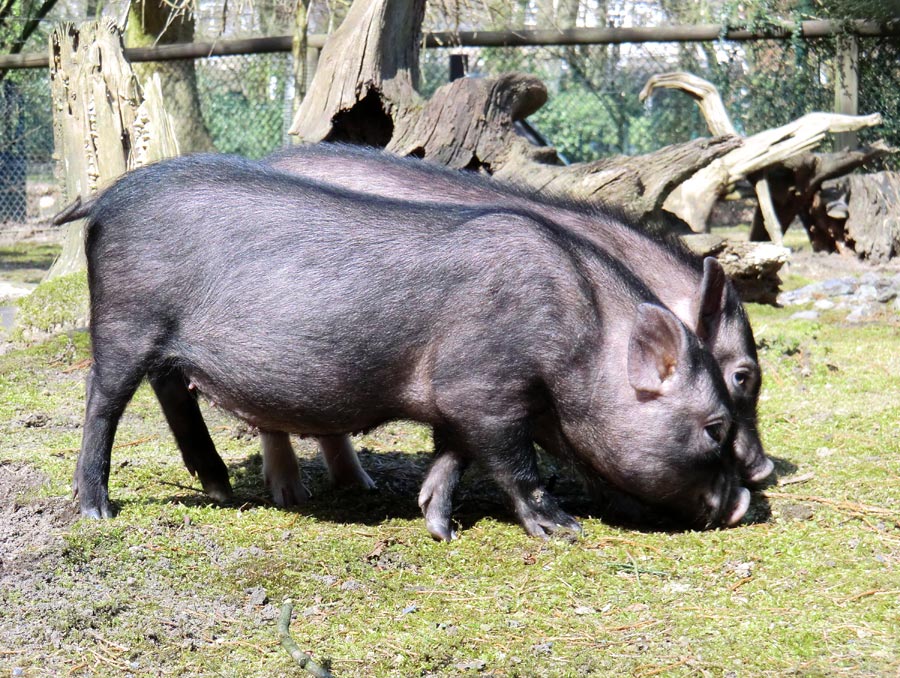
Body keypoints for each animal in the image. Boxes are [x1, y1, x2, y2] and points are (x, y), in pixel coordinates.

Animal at [63, 154, 748, 536]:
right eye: (715, 427)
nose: (747, 501)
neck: (579, 339)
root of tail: (111, 195)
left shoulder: (456, 402)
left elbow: (451, 458)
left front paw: (437, 526)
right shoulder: (487, 391)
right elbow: (514, 462)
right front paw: (563, 528)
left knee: (172, 391)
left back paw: (222, 490)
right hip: (125, 318)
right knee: (102, 400)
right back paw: (96, 512)